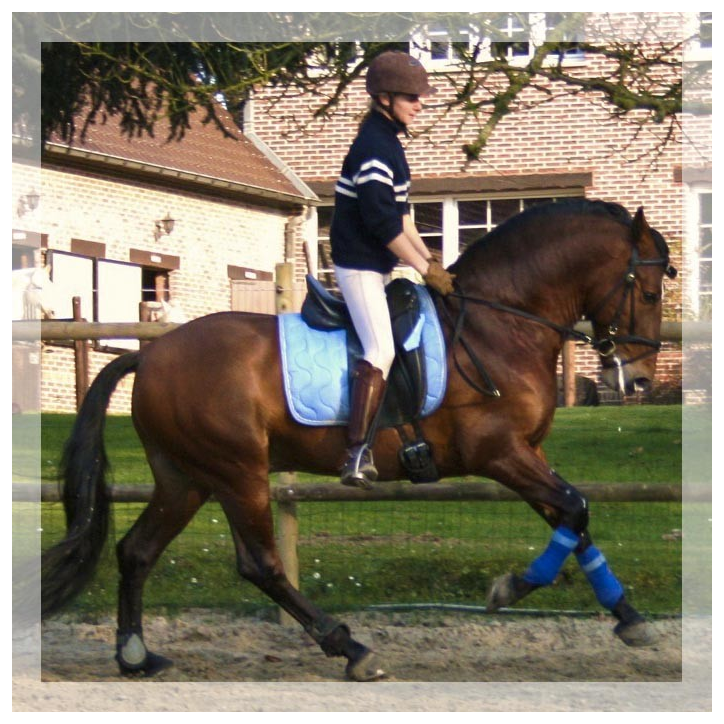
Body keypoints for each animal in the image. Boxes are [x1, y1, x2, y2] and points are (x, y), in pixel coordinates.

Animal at [41, 200, 676, 681]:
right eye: (646, 291)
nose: (641, 379)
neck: (501, 323)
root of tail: (150, 355)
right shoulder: (499, 453)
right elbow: (574, 508)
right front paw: (511, 588)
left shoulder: (529, 453)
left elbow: (574, 517)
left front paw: (627, 616)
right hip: (237, 471)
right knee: (260, 565)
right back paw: (350, 648)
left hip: (188, 478)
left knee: (138, 551)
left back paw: (135, 654)